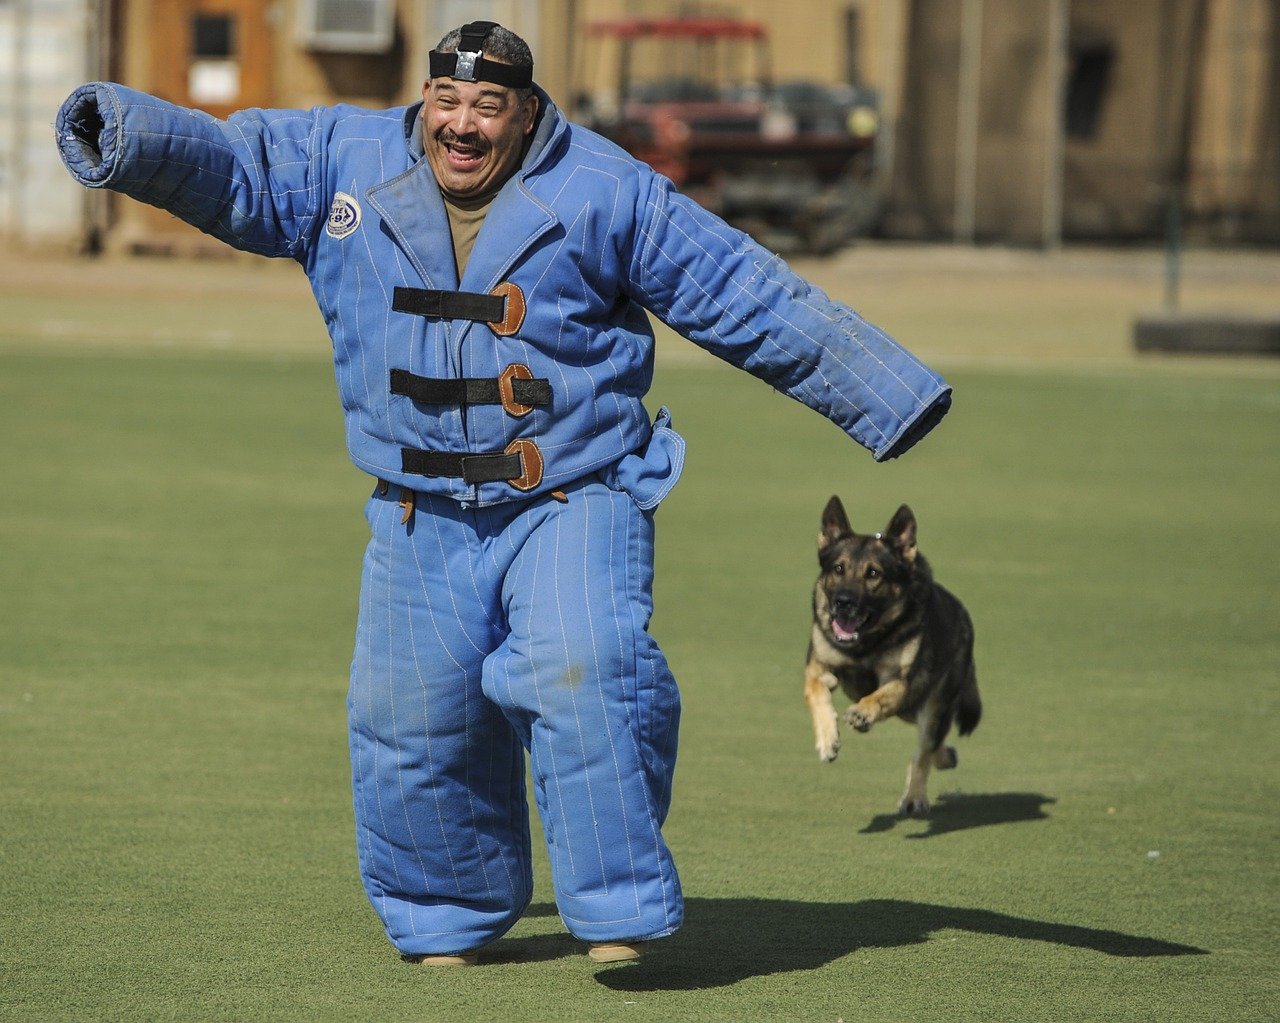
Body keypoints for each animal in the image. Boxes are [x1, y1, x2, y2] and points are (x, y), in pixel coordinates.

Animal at [803, 496, 983, 814]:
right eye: (838, 569)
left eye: (873, 574)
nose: (843, 602)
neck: (868, 642)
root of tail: (963, 617)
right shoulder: (818, 667)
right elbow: (815, 692)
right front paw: (827, 739)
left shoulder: (900, 682)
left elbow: (878, 697)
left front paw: (862, 712)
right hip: (912, 710)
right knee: (931, 749)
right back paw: (945, 758)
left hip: (930, 706)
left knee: (924, 751)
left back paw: (915, 797)